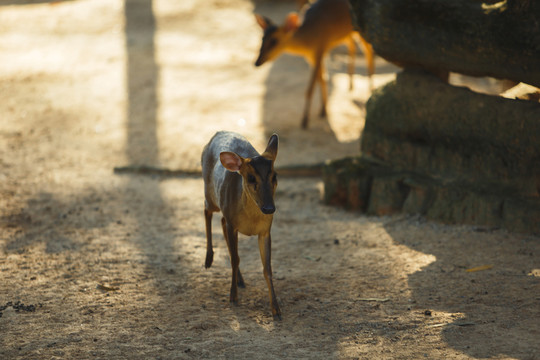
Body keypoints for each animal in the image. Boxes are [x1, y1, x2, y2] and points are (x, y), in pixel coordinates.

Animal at [199, 131, 280, 320]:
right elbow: (235, 259)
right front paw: (233, 297)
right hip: (210, 192)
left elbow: (267, 268)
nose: (269, 208)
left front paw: (276, 310)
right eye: (251, 178)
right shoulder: (232, 224)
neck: (251, 220)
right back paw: (208, 259)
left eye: (275, 177)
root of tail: (217, 133)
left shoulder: (265, 231)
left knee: (220, 221)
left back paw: (240, 279)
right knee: (206, 210)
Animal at [254, 0, 374, 129]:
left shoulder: (319, 49)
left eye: (274, 41)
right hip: (348, 33)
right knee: (352, 45)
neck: (308, 39)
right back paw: (350, 84)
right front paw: (323, 111)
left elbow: (311, 87)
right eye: (262, 38)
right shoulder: (312, 56)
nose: (257, 62)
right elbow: (322, 79)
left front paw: (305, 120)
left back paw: (370, 89)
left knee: (369, 51)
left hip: (361, 30)